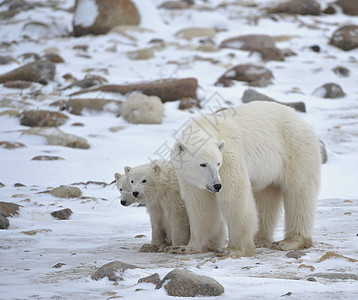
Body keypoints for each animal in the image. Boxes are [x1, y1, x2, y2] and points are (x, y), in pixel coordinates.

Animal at [171, 102, 322, 256]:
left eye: (218, 163)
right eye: (203, 164)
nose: (217, 185)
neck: (207, 127)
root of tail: (301, 120)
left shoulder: (230, 157)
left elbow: (235, 195)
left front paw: (232, 249)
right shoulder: (189, 179)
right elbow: (199, 204)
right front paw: (185, 247)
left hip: (296, 150)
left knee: (299, 193)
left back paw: (289, 241)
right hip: (268, 170)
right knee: (266, 197)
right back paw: (259, 239)